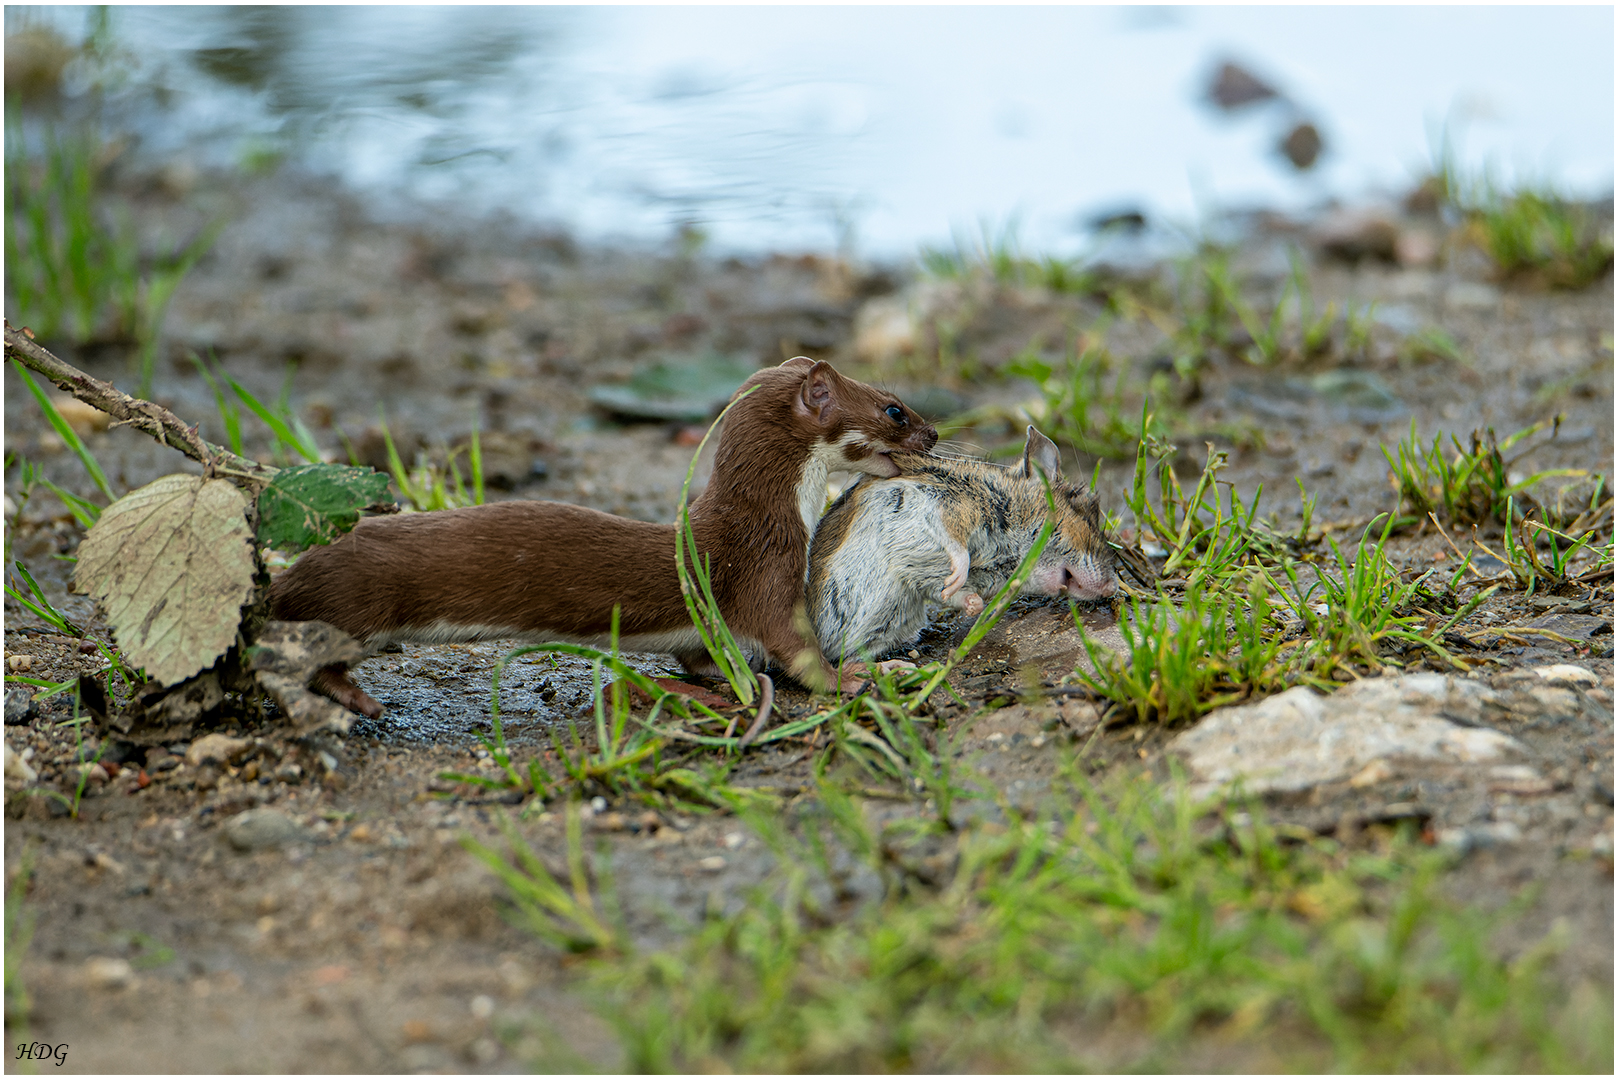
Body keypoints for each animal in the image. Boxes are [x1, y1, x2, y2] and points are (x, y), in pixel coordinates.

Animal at [268, 359, 939, 718]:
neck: (784, 518)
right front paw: (866, 674)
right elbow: (798, 651)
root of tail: (284, 578)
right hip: (352, 607)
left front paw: (719, 674)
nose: (934, 435)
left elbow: (700, 655)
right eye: (895, 408)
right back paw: (359, 699)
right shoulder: (765, 577)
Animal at [806, 427, 1114, 663]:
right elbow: (955, 543)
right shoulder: (951, 504)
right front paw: (959, 576)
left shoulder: (924, 584)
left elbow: (949, 593)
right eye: (1085, 511)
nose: (1113, 588)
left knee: (851, 660)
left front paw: (974, 605)